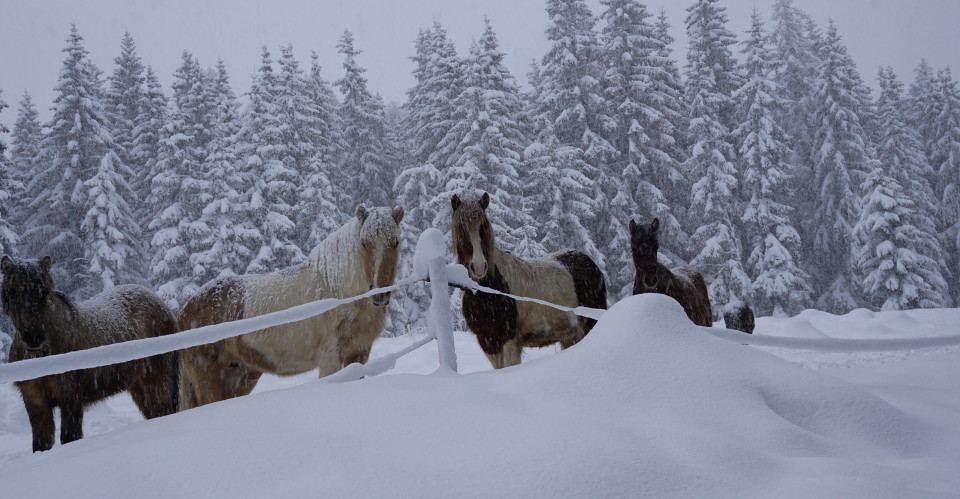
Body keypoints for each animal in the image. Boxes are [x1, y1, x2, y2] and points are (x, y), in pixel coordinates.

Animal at [1, 258, 182, 454]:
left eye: (44, 292)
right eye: (12, 291)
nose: (34, 339)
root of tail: (163, 306)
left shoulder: (70, 399)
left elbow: (69, 437)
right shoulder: (35, 402)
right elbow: (41, 444)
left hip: (157, 382)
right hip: (139, 387)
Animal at [178, 204, 404, 410]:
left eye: (396, 242)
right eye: (364, 244)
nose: (380, 294)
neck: (338, 292)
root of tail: (186, 310)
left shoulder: (359, 353)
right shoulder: (330, 358)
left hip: (239, 375)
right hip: (209, 376)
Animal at [452, 193, 608, 370]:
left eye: (483, 226)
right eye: (461, 228)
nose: (479, 267)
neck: (488, 291)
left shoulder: (509, 343)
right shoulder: (488, 343)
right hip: (570, 335)